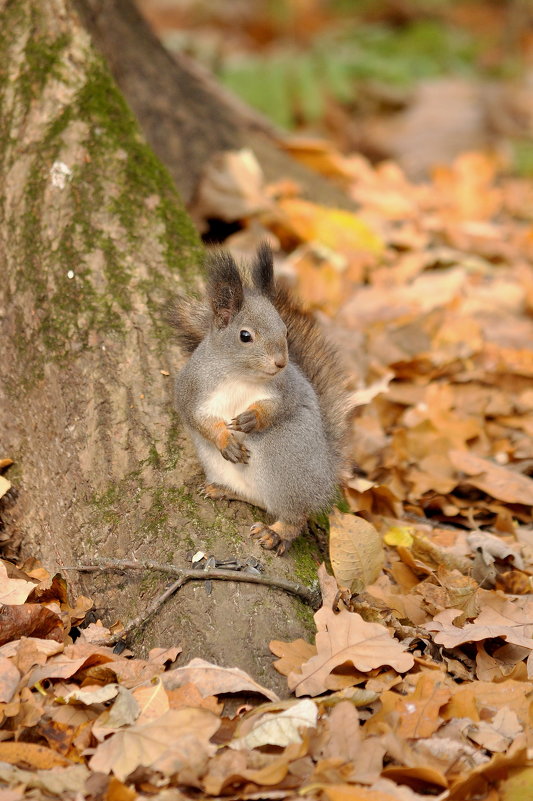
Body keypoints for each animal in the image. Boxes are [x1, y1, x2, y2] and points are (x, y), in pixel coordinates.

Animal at [168, 244, 348, 556]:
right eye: (245, 336)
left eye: (285, 331)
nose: (281, 362)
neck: (239, 375)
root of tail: (325, 479)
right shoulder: (191, 389)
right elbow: (196, 418)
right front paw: (225, 440)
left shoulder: (290, 388)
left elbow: (283, 406)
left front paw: (252, 418)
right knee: (258, 500)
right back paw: (224, 490)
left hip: (285, 458)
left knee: (296, 515)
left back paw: (276, 533)